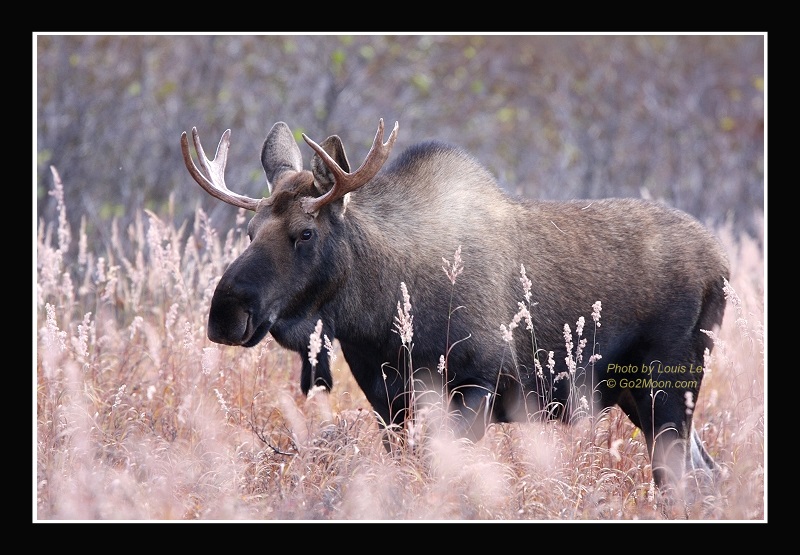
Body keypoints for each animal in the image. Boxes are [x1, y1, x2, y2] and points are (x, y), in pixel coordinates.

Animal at [181, 119, 728, 495]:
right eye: (250, 232)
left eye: (305, 233)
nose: (225, 314)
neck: (376, 314)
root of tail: (721, 268)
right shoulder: (389, 400)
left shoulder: (477, 385)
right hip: (642, 397)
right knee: (704, 474)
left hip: (668, 384)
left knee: (684, 479)